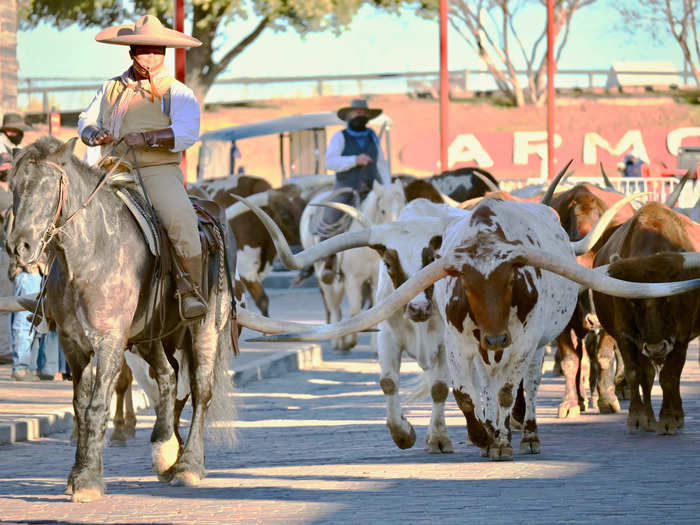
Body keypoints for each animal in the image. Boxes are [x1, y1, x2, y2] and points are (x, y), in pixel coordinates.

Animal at [4, 137, 237, 502]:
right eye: (13, 187)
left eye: (48, 185)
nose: (19, 247)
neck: (89, 255)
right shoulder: (74, 344)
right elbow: (80, 406)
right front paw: (80, 472)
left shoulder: (110, 341)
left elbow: (97, 405)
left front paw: (87, 480)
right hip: (150, 337)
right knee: (168, 378)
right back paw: (165, 451)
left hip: (205, 329)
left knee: (201, 390)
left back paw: (188, 466)